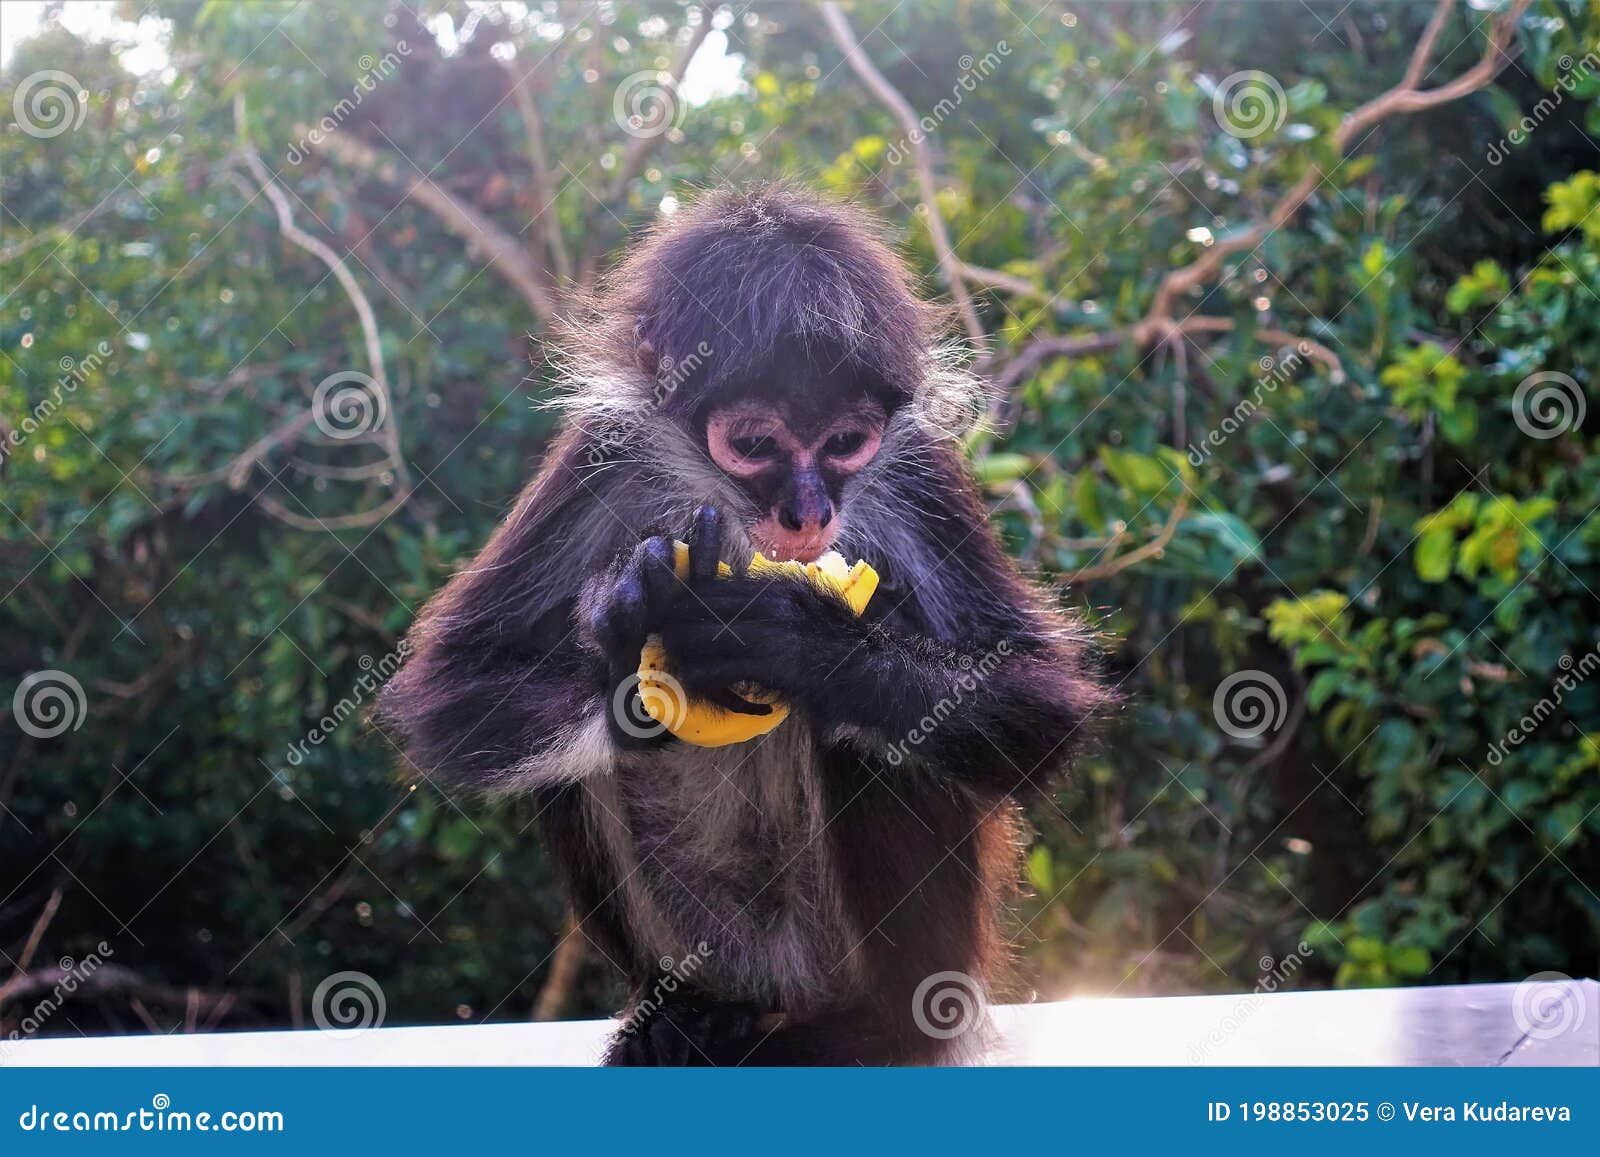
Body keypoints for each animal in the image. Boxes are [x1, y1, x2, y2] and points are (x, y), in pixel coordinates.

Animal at [379, 183, 1107, 1068]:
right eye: (757, 444)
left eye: (846, 442)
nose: (809, 513)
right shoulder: (603, 453)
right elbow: (451, 683)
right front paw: (628, 665)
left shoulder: (918, 469)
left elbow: (1044, 707)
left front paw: (793, 641)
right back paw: (685, 1018)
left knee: (863, 729)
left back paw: (881, 1027)